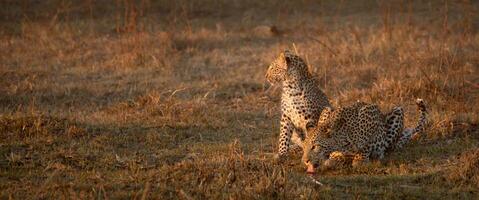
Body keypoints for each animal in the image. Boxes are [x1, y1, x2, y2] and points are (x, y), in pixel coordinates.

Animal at [302, 97, 430, 173]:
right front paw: (334, 157)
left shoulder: (370, 110)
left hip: (397, 111)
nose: (305, 161)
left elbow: (366, 141)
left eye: (314, 146)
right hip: (327, 108)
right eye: (304, 147)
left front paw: (359, 159)